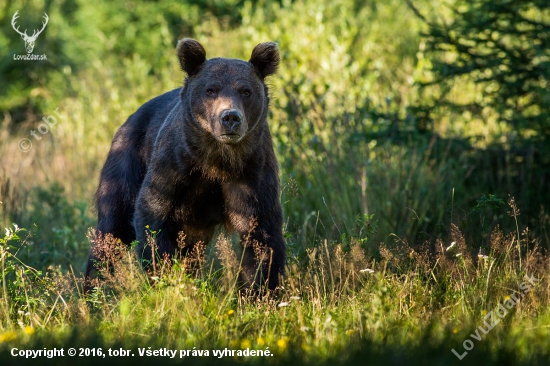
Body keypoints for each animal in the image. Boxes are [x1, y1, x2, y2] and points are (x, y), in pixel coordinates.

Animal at [85, 38, 288, 294]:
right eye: (210, 90)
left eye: (246, 91)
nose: (230, 118)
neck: (217, 161)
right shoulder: (174, 168)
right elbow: (152, 215)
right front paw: (163, 275)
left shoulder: (252, 172)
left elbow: (260, 234)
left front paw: (261, 289)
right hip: (128, 160)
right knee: (113, 226)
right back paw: (93, 288)